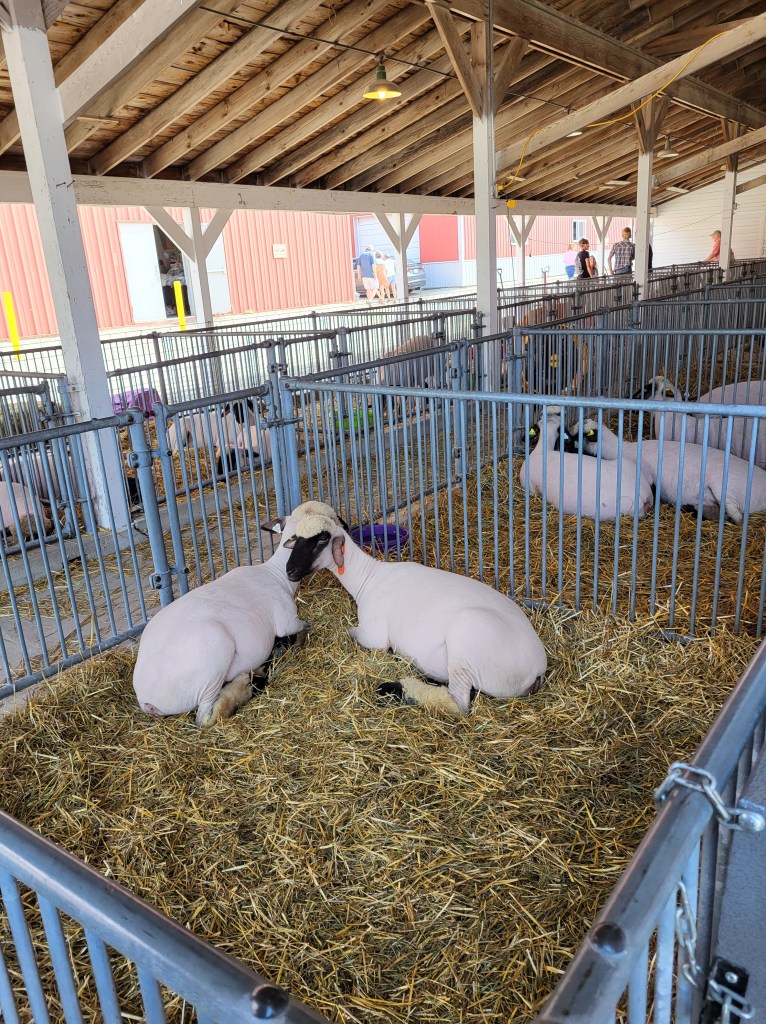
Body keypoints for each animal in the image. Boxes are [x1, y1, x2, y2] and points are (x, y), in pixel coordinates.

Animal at [132, 508, 324, 727]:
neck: (275, 573)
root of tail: (148, 701)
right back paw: (241, 686)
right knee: (204, 717)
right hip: (214, 665)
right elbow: (303, 626)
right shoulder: (287, 620)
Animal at [281, 502, 547, 716]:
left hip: (466, 639)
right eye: (295, 538)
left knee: (458, 703)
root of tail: (538, 669)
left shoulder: (373, 635)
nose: (289, 571)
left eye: (321, 539)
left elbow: (349, 631)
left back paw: (398, 687)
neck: (369, 577)